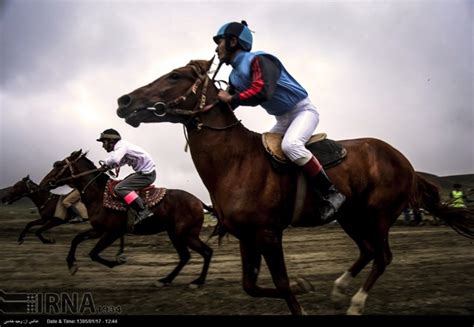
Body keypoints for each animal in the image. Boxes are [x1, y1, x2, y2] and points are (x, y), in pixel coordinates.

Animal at [39, 151, 213, 288]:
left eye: (58, 164)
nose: (44, 183)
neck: (99, 195)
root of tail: (199, 202)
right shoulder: (98, 230)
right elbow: (76, 239)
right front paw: (71, 264)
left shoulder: (112, 232)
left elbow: (93, 253)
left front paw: (115, 262)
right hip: (177, 234)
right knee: (188, 256)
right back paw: (167, 279)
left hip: (184, 234)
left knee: (204, 252)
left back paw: (197, 281)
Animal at [115, 58, 474, 316]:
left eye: (175, 76)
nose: (124, 100)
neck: (235, 161)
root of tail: (404, 162)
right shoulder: (247, 235)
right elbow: (251, 285)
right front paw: (306, 286)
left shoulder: (269, 233)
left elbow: (282, 282)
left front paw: (301, 291)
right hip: (350, 217)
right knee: (368, 251)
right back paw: (338, 290)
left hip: (379, 215)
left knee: (382, 256)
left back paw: (355, 303)